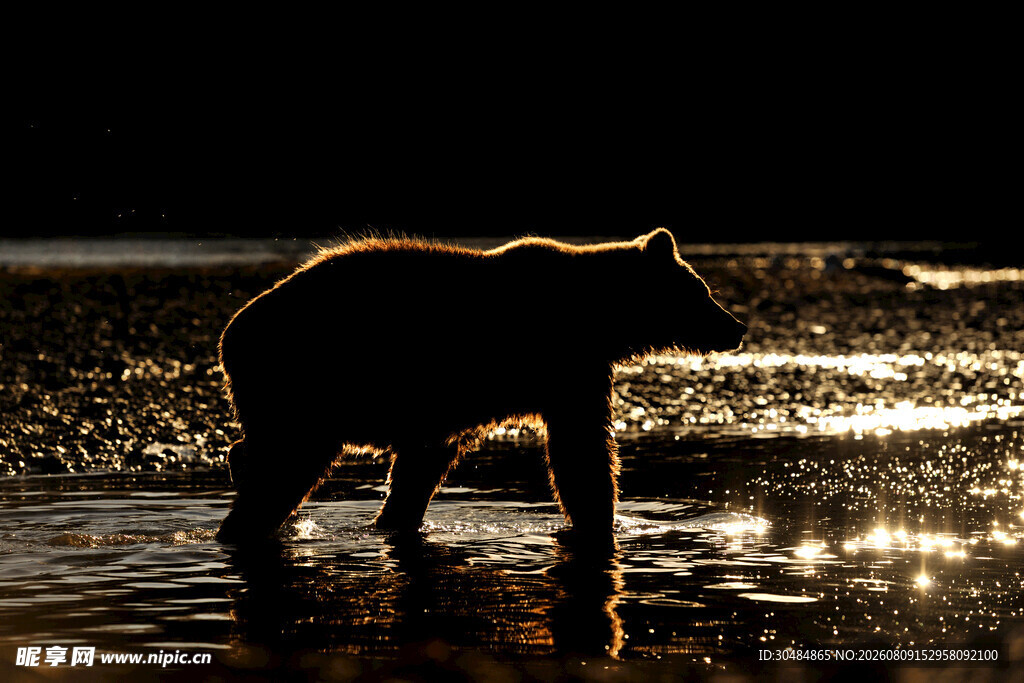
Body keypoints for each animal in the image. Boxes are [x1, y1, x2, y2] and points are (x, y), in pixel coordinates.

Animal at [215, 229, 746, 543]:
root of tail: (230, 333)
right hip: (310, 381)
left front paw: (395, 518)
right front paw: (601, 517)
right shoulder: (566, 366)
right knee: (287, 464)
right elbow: (581, 449)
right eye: (703, 291)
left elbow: (423, 463)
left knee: (260, 449)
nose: (736, 327)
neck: (599, 316)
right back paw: (243, 522)